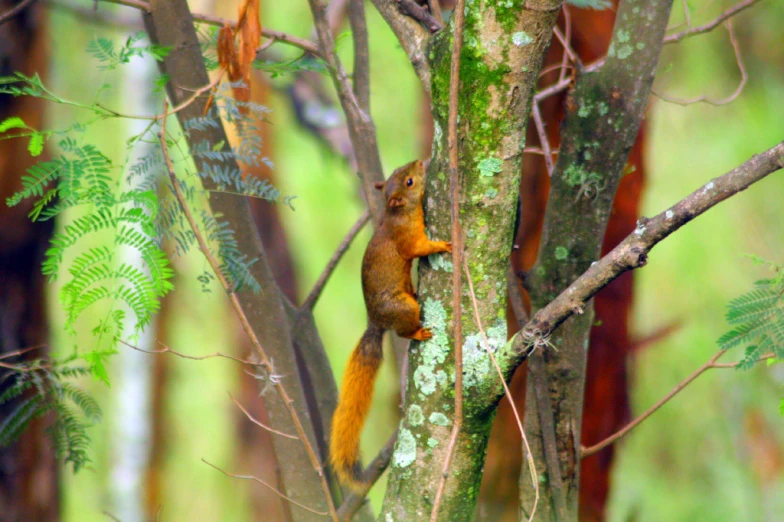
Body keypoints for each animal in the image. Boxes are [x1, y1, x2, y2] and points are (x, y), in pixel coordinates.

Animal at [330, 158, 450, 488]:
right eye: (409, 182)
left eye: (402, 172)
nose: (422, 161)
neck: (396, 213)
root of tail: (376, 321)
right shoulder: (407, 239)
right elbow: (419, 249)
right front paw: (442, 245)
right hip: (403, 309)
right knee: (403, 330)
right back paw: (417, 332)